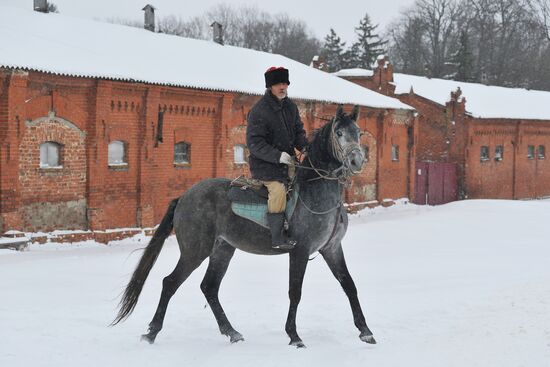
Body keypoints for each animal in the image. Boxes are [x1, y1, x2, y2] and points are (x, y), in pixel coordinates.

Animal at [113, 104, 378, 348]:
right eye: (339, 133)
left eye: (358, 132)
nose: (356, 161)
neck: (316, 191)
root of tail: (184, 197)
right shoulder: (300, 251)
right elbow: (295, 292)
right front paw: (294, 336)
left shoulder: (331, 249)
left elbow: (349, 285)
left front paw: (365, 331)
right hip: (195, 251)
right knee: (170, 283)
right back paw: (151, 332)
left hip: (223, 248)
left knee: (209, 287)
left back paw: (232, 332)